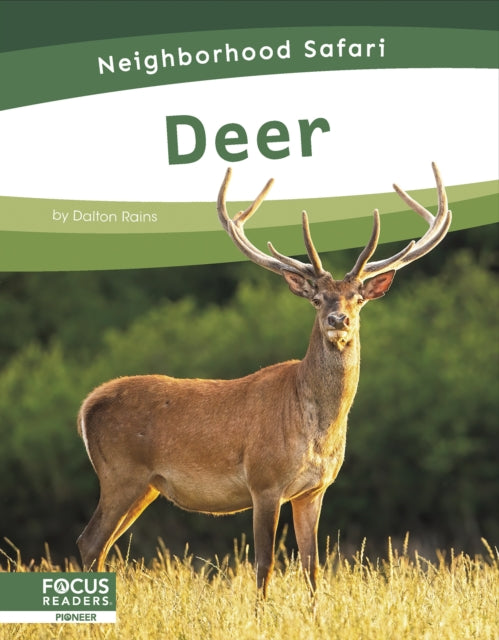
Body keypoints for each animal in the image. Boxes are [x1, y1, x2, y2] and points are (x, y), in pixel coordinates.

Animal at [77, 163, 451, 597]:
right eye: (317, 298)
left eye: (358, 298)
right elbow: (264, 564)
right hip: (120, 473)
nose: (338, 320)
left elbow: (312, 566)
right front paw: (260, 609)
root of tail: (87, 406)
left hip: (146, 485)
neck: (316, 430)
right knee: (89, 541)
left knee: (102, 545)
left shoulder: (314, 490)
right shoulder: (264, 481)